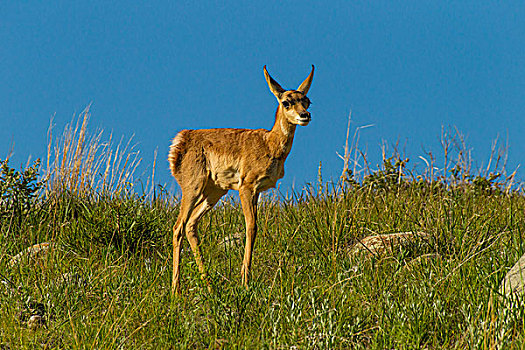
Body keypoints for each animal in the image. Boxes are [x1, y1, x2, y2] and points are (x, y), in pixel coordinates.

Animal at [170, 64, 314, 294]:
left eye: (307, 100)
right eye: (286, 101)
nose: (305, 115)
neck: (270, 143)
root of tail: (183, 138)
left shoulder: (257, 192)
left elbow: (254, 226)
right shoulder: (246, 188)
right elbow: (251, 227)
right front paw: (245, 280)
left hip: (214, 192)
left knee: (191, 224)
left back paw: (209, 286)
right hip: (193, 188)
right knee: (178, 227)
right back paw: (176, 290)